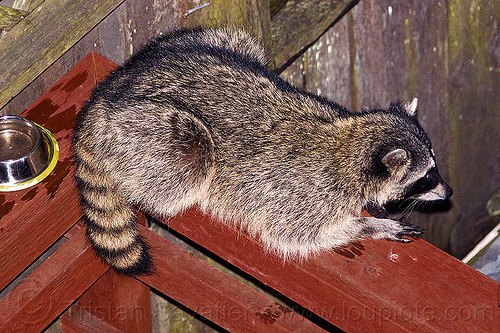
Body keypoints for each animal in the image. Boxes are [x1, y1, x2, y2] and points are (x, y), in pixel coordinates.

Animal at [73, 27, 454, 274]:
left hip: (200, 45)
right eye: (425, 177)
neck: (353, 141)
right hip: (155, 135)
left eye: (434, 168)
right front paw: (371, 226)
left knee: (235, 40)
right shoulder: (307, 195)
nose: (448, 191)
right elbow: (298, 236)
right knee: (190, 162)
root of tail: (105, 97)